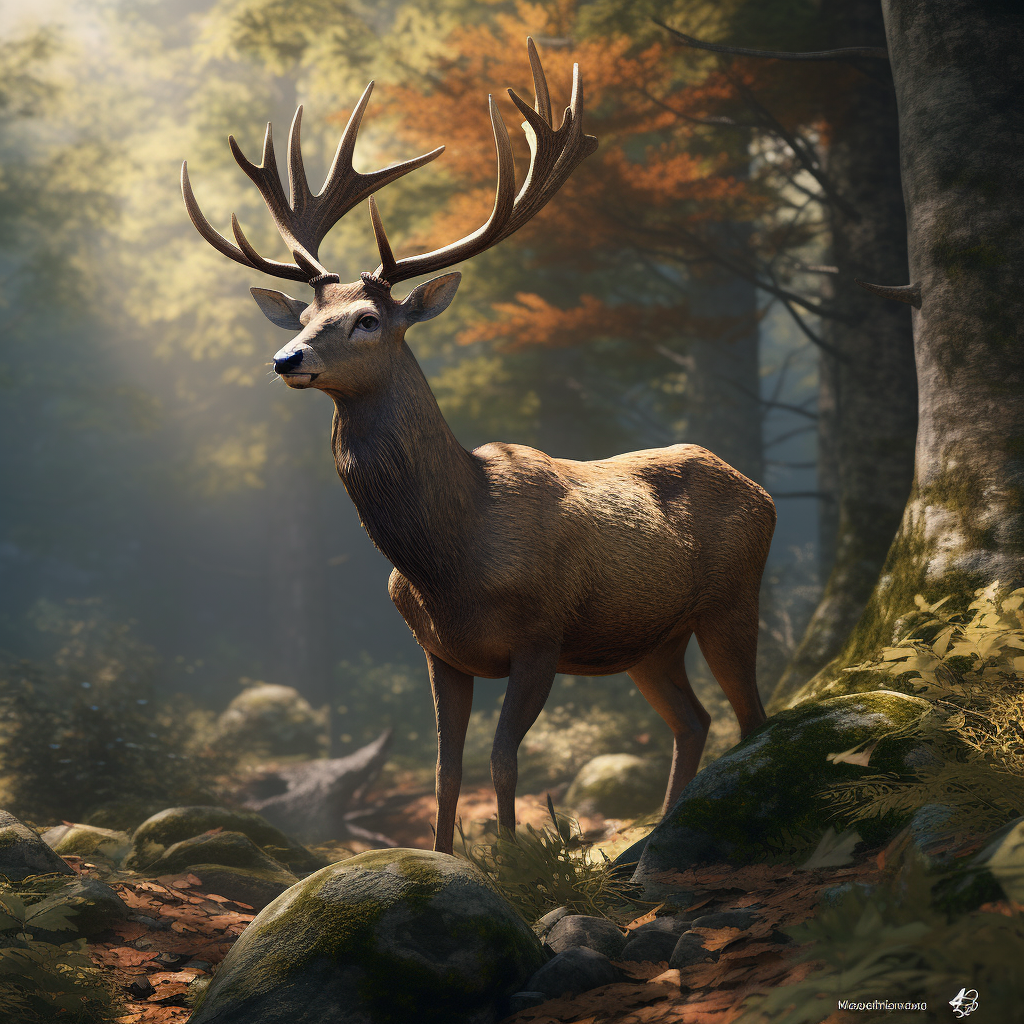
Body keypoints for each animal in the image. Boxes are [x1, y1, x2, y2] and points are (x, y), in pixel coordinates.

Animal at [181, 39, 776, 856]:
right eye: (302, 316)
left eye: (368, 319)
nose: (286, 360)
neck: (451, 554)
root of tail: (762, 492)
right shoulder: (438, 651)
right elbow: (445, 769)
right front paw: (441, 860)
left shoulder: (541, 635)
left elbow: (502, 760)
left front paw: (519, 864)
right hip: (650, 640)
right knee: (696, 720)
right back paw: (657, 834)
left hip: (731, 596)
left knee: (752, 717)